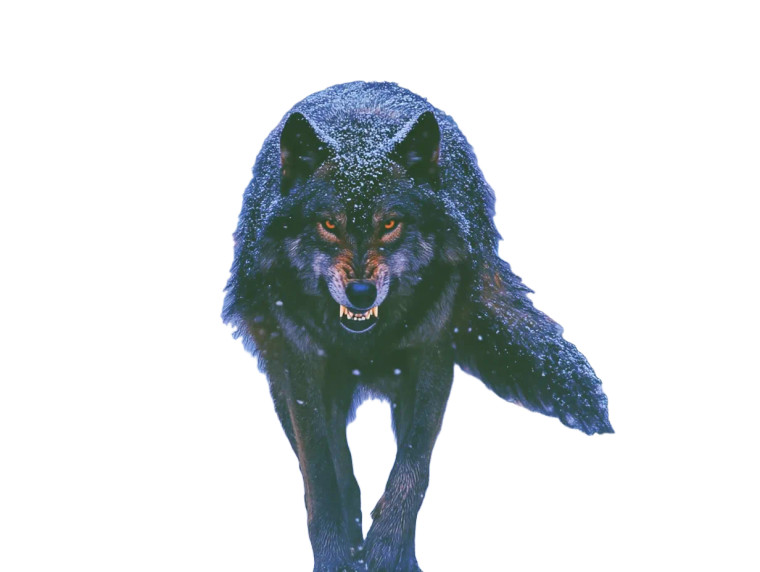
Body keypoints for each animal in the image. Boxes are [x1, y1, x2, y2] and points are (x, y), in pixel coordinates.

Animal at [223, 82, 612, 572]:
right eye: (329, 224)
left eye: (390, 223)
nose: (361, 293)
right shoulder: (301, 370)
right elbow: (322, 474)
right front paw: (338, 556)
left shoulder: (431, 359)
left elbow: (412, 468)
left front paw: (390, 554)